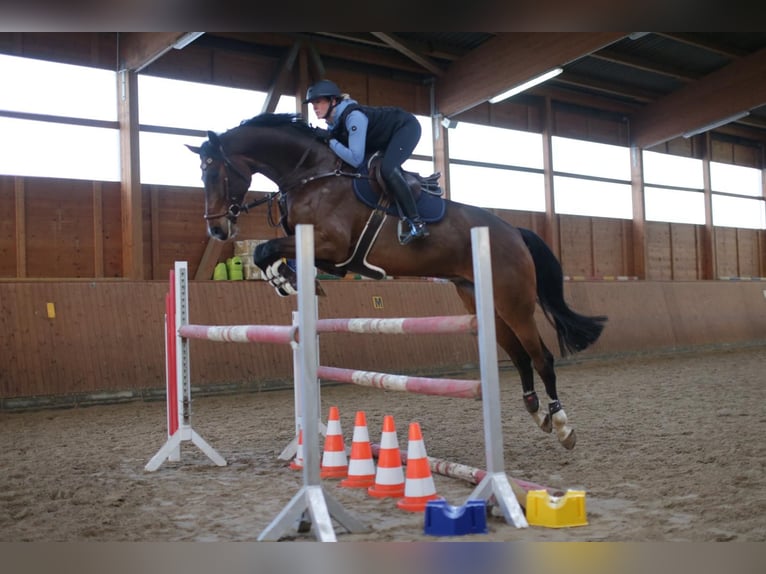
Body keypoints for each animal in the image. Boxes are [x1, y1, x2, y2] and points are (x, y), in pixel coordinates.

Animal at [186, 112, 608, 452]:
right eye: (201, 174)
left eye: (215, 172)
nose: (217, 230)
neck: (311, 175)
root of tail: (514, 232)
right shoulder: (327, 255)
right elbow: (268, 252)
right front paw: (284, 279)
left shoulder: (332, 244)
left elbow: (266, 248)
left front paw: (283, 278)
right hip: (479, 299)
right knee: (520, 356)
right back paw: (537, 413)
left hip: (514, 301)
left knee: (542, 357)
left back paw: (562, 425)